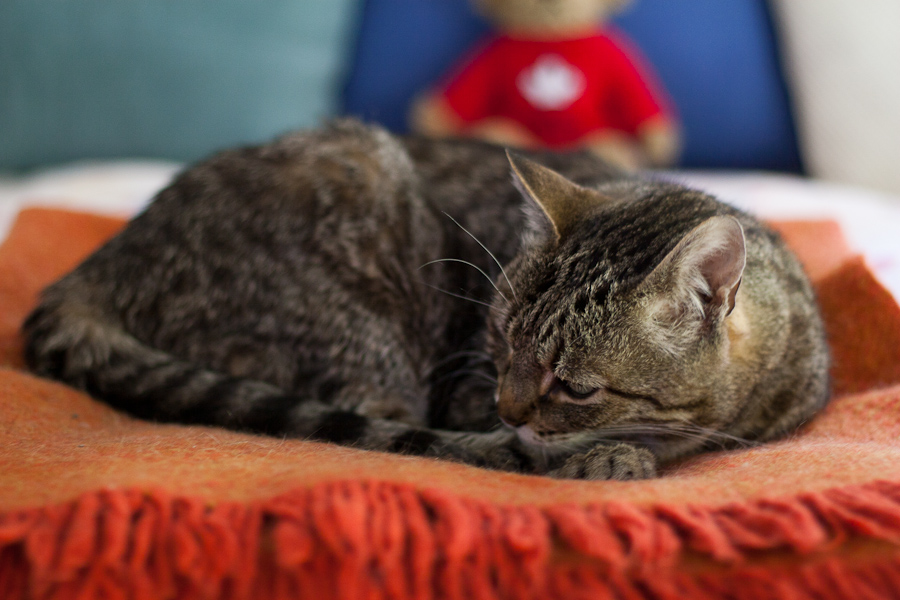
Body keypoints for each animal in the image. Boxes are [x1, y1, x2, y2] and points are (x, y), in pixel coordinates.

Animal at [21, 119, 832, 480]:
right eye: (496, 343)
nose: (508, 410)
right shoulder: (468, 394)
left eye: (574, 387)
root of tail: (102, 262)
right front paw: (609, 456)